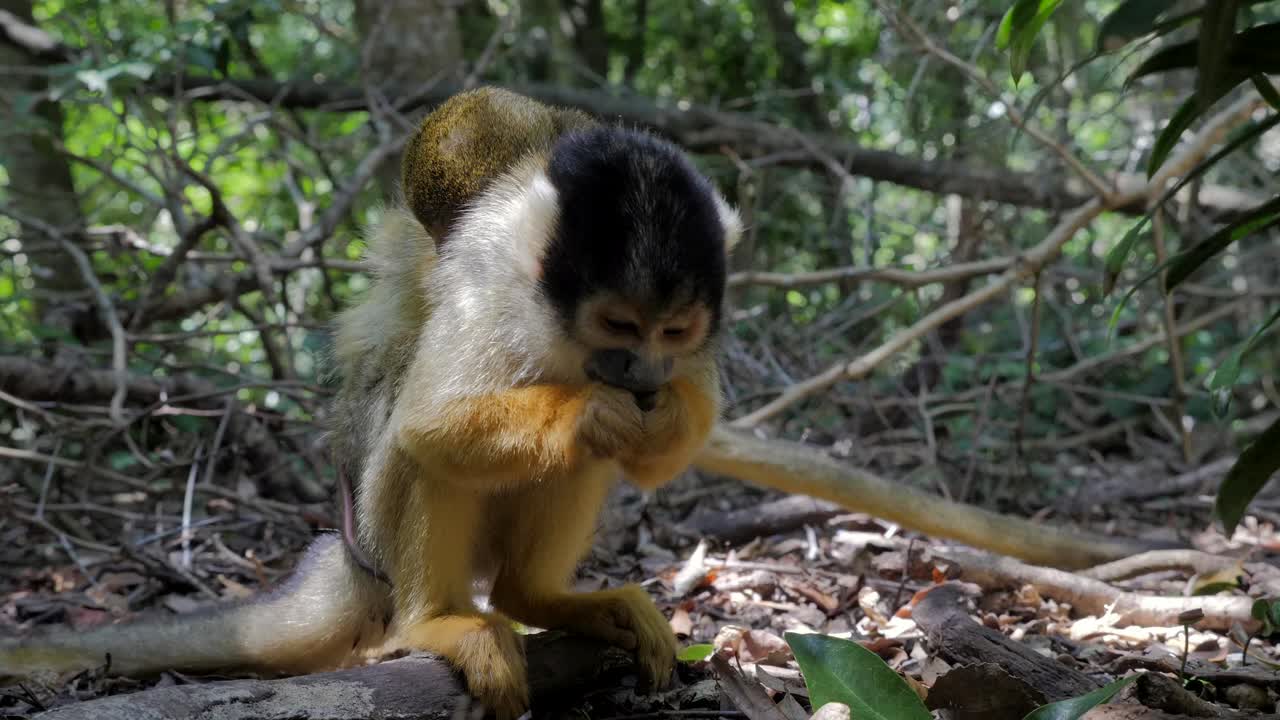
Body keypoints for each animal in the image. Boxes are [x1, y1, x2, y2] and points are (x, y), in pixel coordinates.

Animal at [0, 87, 741, 720]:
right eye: (619, 324)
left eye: (674, 331)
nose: (643, 372)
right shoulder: (492, 278)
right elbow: (431, 425)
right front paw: (594, 410)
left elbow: (658, 454)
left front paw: (662, 416)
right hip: (380, 535)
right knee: (419, 449)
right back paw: (438, 620)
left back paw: (535, 597)